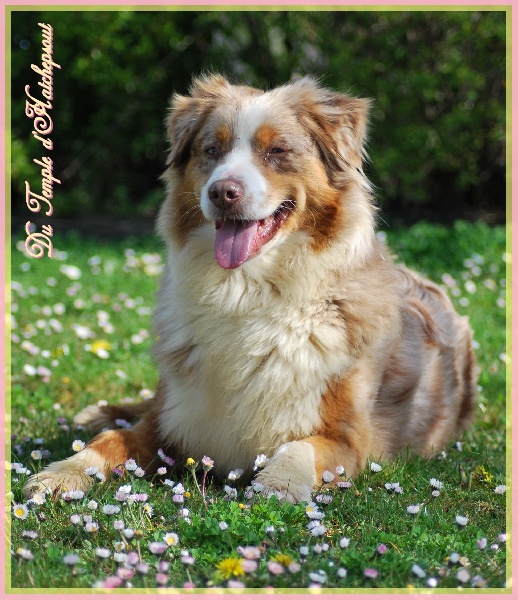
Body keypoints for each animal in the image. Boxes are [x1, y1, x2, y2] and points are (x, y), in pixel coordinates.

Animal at [26, 75, 478, 502]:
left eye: (276, 151)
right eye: (211, 150)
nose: (222, 192)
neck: (245, 290)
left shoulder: (349, 439)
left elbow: (301, 446)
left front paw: (281, 481)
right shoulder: (172, 416)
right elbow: (113, 440)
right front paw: (63, 472)